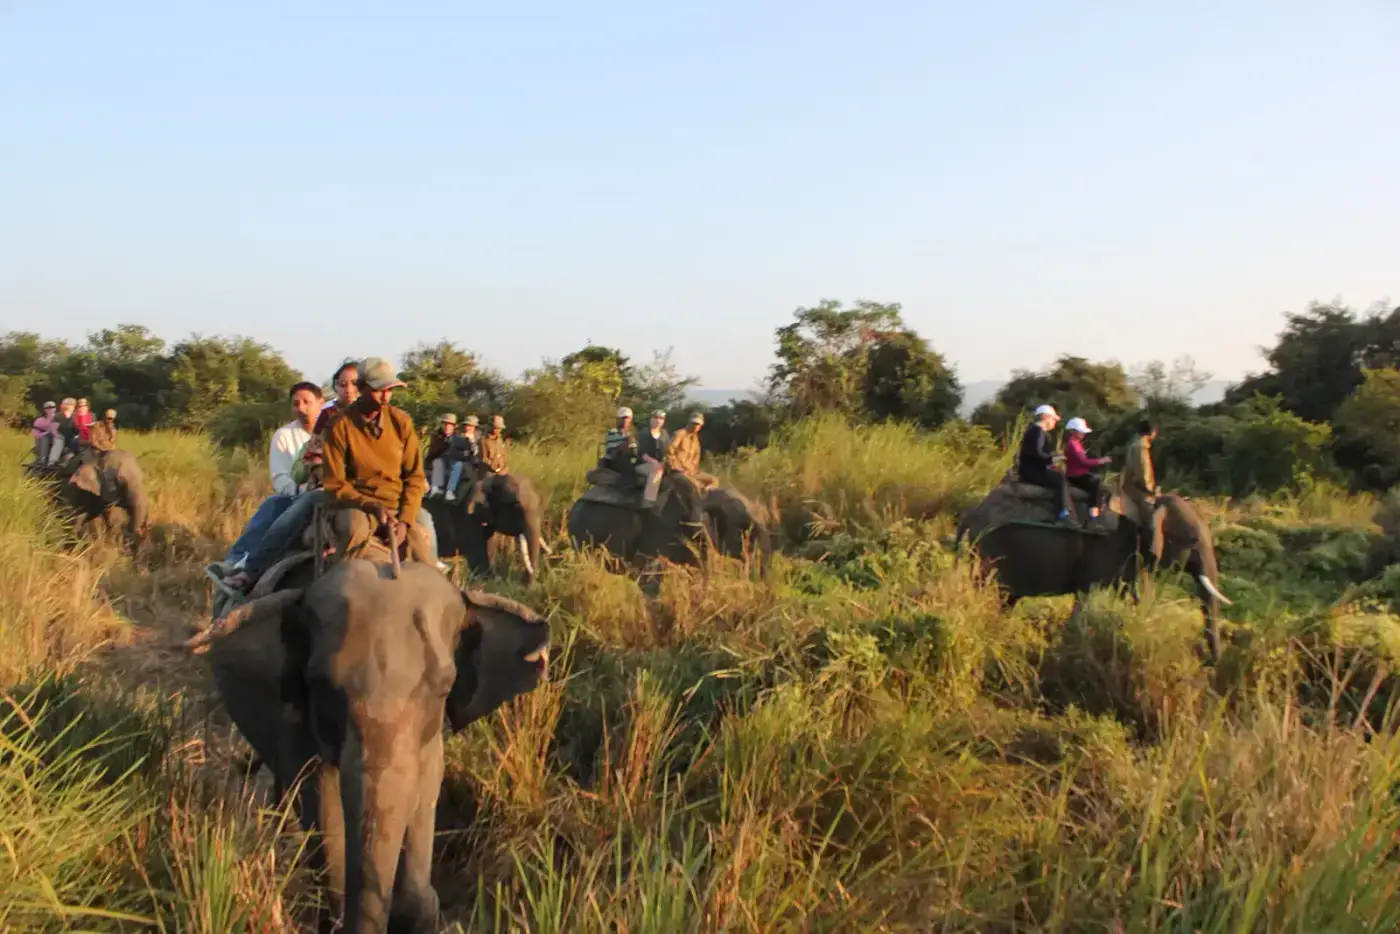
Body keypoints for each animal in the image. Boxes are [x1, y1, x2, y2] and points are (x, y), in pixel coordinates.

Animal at [957, 491, 1231, 661]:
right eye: (1193, 540)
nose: (1207, 661)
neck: (1148, 504)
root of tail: (970, 515)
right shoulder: (1108, 545)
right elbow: (1088, 592)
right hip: (988, 549)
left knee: (1005, 599)